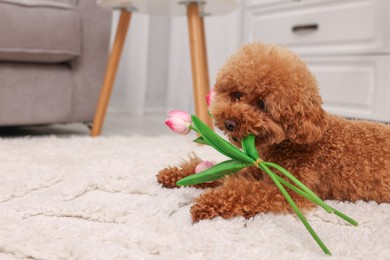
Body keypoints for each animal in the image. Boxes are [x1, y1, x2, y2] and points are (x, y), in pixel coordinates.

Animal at [156, 42, 390, 221]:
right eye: (236, 95)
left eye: (262, 104)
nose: (230, 122)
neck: (291, 143)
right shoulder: (254, 168)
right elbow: (215, 171)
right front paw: (177, 175)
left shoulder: (287, 190)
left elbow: (246, 192)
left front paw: (207, 202)